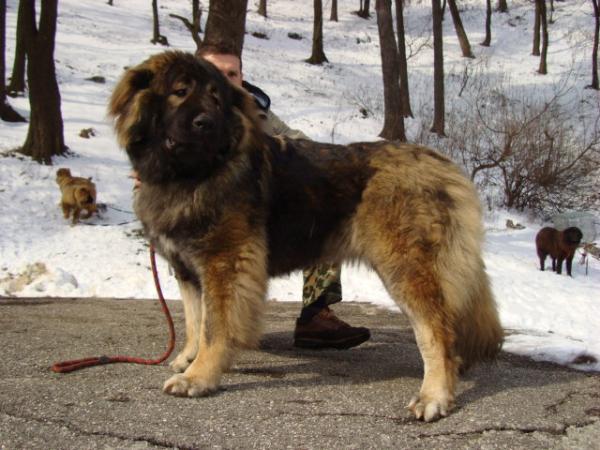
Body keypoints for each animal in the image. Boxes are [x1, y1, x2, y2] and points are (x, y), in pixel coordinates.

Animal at [108, 52, 502, 422]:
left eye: (217, 100)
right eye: (180, 92)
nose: (206, 124)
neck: (191, 175)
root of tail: (444, 164)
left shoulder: (225, 263)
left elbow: (214, 327)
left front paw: (199, 377)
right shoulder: (188, 269)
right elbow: (194, 321)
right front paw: (188, 359)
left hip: (405, 267)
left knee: (436, 331)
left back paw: (434, 395)